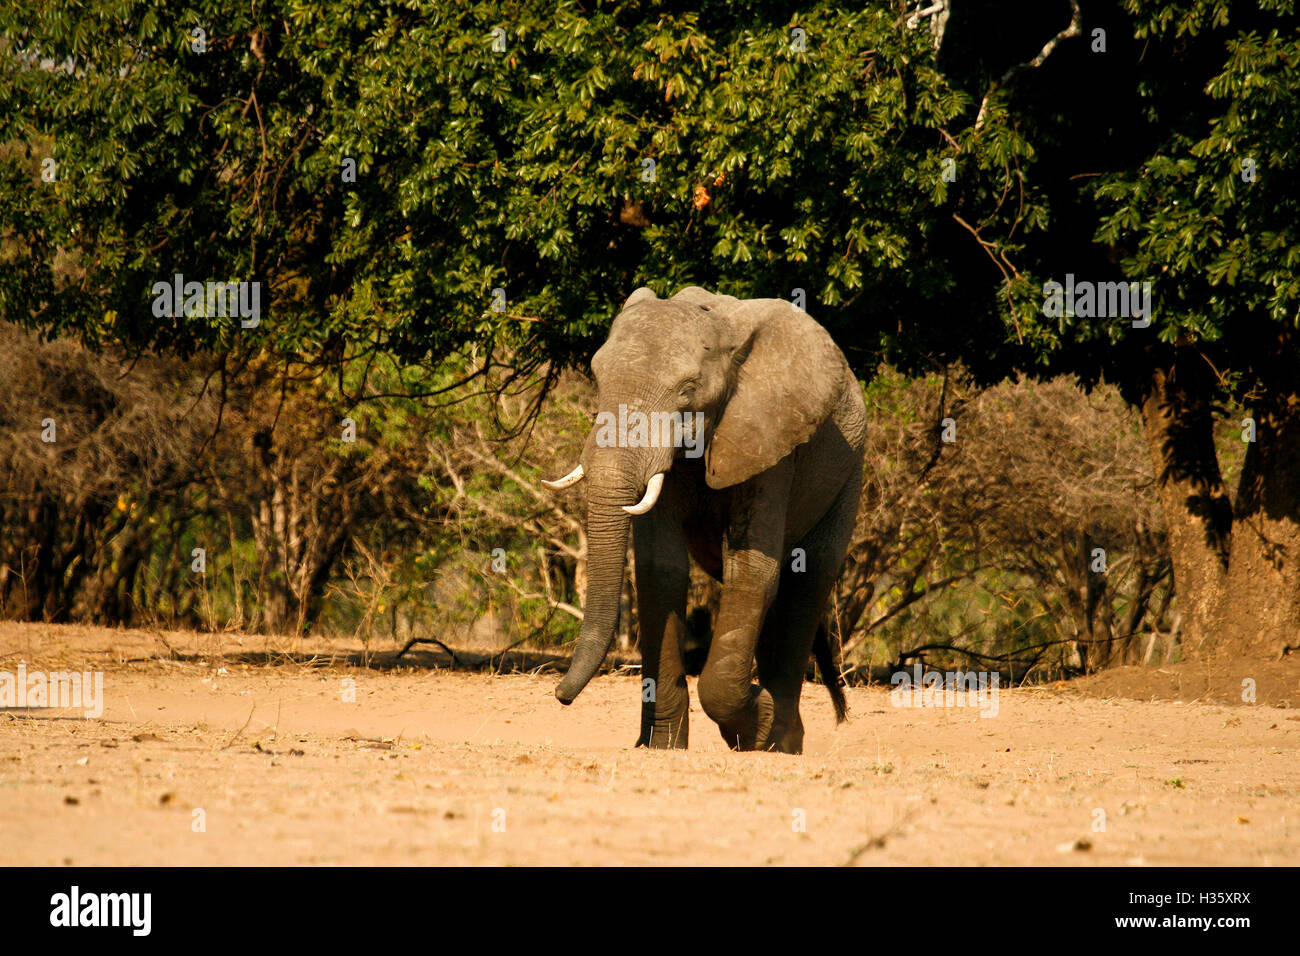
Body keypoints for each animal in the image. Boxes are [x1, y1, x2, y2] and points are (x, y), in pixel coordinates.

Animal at [543, 286, 868, 754]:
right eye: (597, 378)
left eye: (688, 390)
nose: (559, 695)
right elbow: (662, 573)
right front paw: (661, 747)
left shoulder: (769, 437)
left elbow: (750, 572)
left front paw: (757, 719)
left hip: (849, 472)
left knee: (806, 586)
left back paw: (781, 743)